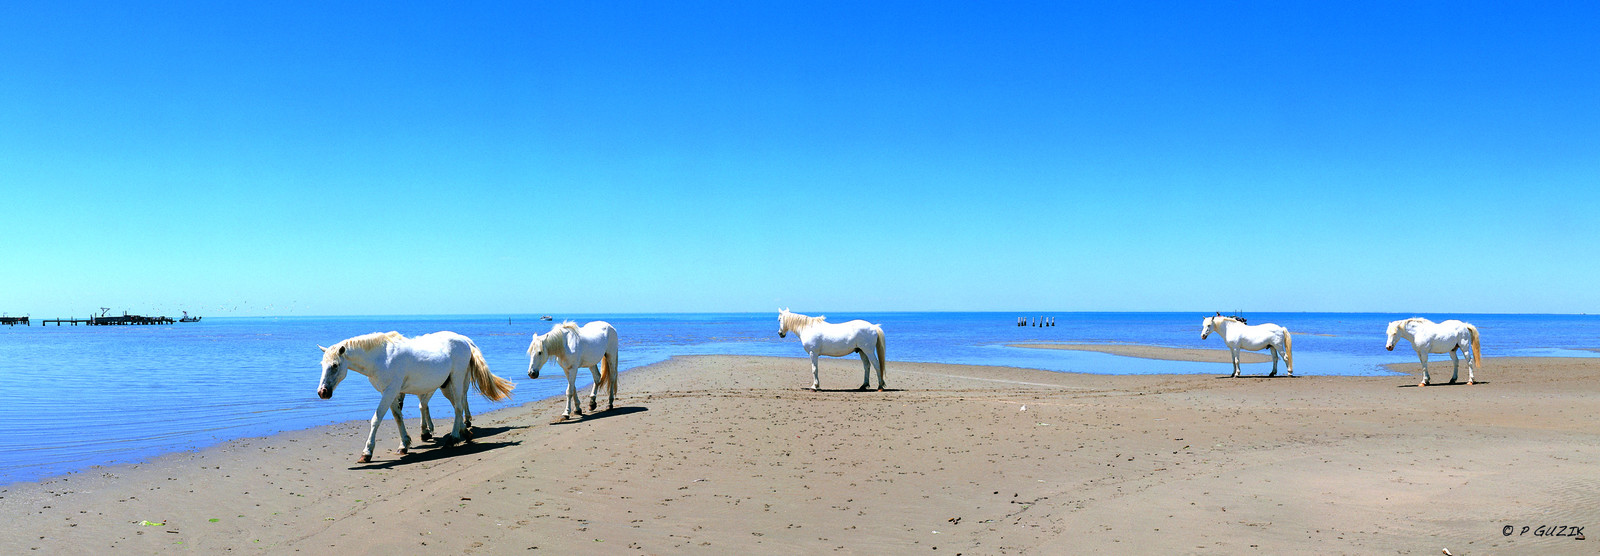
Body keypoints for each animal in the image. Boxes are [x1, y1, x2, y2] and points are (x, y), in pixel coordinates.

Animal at [317, 331, 515, 463]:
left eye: (335, 365)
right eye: (322, 364)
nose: (322, 392)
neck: (381, 357)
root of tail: (465, 341)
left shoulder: (390, 391)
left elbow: (376, 418)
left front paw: (366, 453)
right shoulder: (390, 392)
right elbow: (398, 417)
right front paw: (404, 445)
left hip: (457, 380)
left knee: (459, 406)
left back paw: (452, 439)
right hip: (446, 386)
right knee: (456, 407)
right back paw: (464, 433)